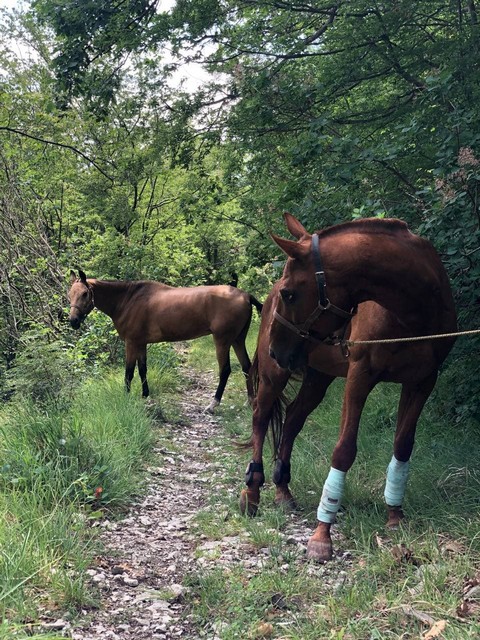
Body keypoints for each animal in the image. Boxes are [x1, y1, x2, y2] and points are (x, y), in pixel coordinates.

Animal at [68, 270, 263, 412]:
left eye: (85, 294)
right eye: (70, 294)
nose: (73, 321)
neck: (127, 300)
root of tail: (246, 295)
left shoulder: (131, 343)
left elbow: (129, 372)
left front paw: (126, 398)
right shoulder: (141, 343)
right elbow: (142, 370)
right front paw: (145, 395)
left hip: (222, 340)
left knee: (225, 370)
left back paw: (213, 404)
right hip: (237, 340)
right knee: (246, 367)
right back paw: (249, 401)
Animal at [243, 213, 456, 562]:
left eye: (291, 294)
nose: (276, 351)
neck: (413, 311)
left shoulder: (421, 382)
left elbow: (403, 445)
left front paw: (395, 514)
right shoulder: (360, 377)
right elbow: (343, 451)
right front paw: (322, 534)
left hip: (318, 376)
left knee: (293, 418)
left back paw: (283, 490)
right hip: (276, 377)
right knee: (261, 417)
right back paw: (252, 490)